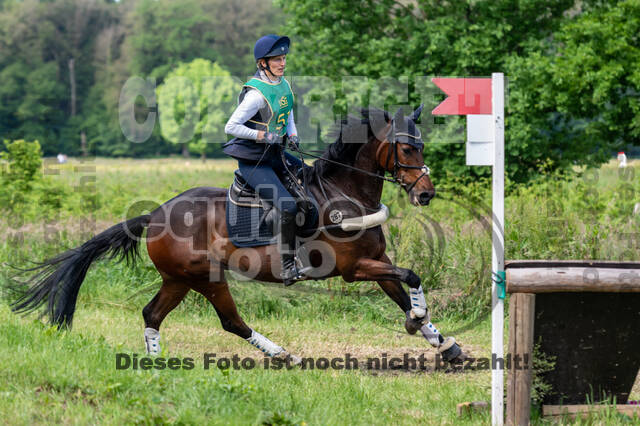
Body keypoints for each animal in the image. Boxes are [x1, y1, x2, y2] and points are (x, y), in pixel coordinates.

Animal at [9, 106, 466, 364]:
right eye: (406, 149)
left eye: (421, 146)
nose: (426, 193)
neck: (346, 191)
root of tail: (154, 214)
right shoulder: (356, 268)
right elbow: (411, 278)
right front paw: (419, 322)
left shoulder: (379, 262)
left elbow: (403, 289)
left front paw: (442, 343)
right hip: (205, 278)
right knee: (230, 321)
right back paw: (283, 355)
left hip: (178, 279)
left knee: (152, 314)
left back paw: (156, 363)